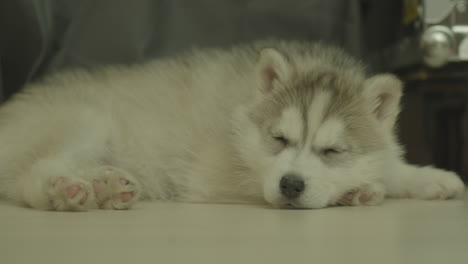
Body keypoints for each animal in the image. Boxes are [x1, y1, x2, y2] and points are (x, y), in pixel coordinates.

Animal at [0, 40, 462, 210]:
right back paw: (67, 189)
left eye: (332, 151)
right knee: (30, 176)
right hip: (87, 119)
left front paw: (430, 178)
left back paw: (106, 185)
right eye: (279, 138)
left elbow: (390, 164)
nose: (291, 185)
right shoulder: (212, 176)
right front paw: (355, 190)